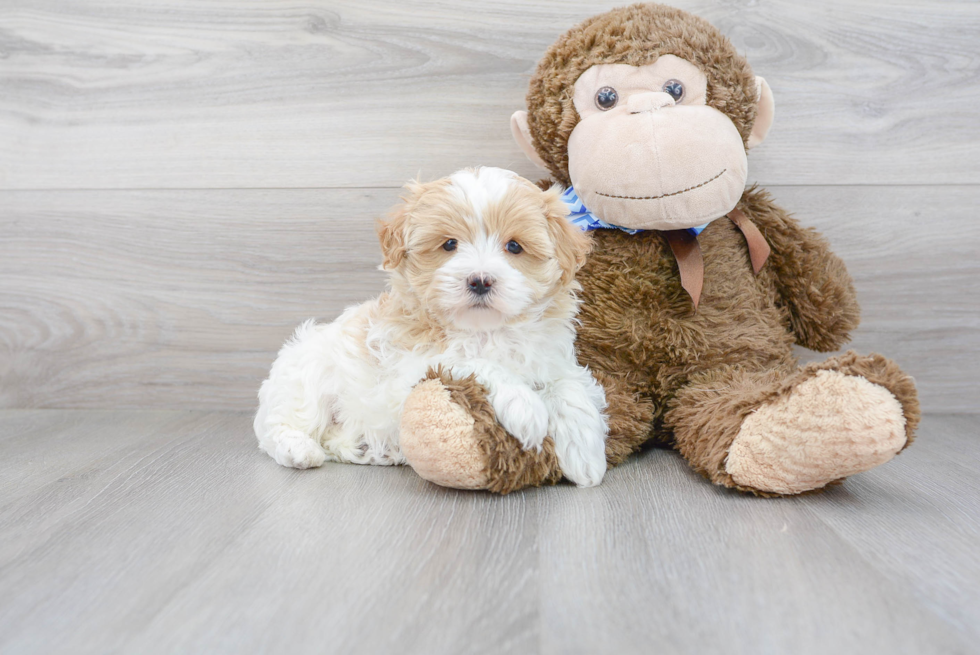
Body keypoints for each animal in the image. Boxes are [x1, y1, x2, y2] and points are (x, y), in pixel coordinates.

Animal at [253, 168, 604, 486]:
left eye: (514, 246)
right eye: (449, 244)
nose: (480, 280)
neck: (485, 330)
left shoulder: (552, 357)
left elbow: (567, 386)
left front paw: (585, 453)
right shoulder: (413, 366)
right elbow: (475, 363)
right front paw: (525, 408)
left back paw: (371, 450)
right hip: (306, 376)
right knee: (280, 426)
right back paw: (299, 450)